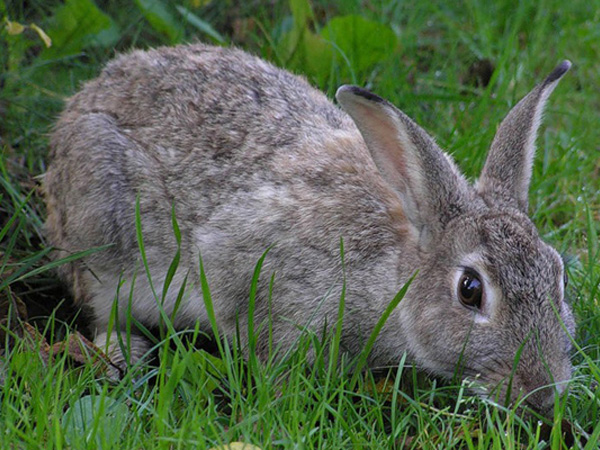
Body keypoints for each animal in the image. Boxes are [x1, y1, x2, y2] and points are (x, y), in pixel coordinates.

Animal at [44, 44, 576, 414]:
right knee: (101, 308)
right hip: (100, 230)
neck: (392, 271)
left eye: (558, 274)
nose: (542, 393)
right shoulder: (251, 274)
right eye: (470, 290)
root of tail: (83, 100)